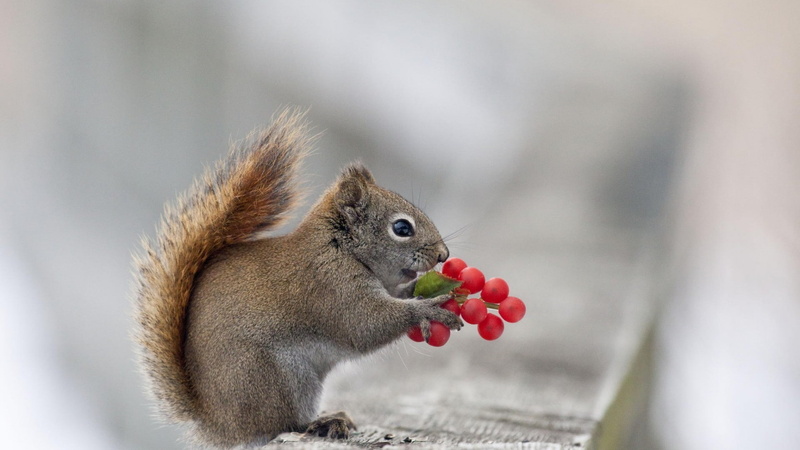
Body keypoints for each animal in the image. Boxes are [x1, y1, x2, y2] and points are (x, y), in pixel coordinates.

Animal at [132, 109, 462, 448]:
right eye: (402, 228)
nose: (443, 255)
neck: (339, 247)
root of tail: (219, 425)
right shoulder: (331, 286)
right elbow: (365, 325)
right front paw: (428, 309)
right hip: (278, 378)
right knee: (282, 424)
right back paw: (321, 423)